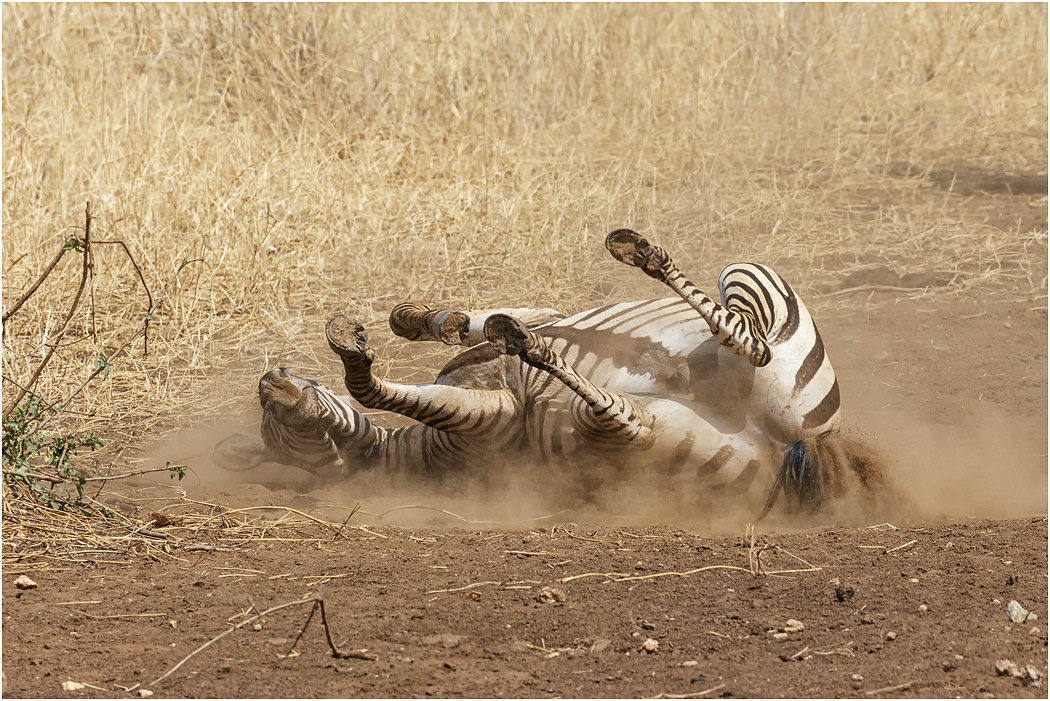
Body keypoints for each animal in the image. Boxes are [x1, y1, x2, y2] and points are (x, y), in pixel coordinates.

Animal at [215, 229, 886, 517]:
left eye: (270, 416)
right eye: (284, 429)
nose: (269, 379)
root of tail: (806, 461)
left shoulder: (529, 323)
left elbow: (466, 324)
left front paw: (419, 318)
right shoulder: (492, 420)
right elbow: (372, 385)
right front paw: (357, 353)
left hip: (751, 310)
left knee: (734, 341)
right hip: (635, 429)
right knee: (737, 356)